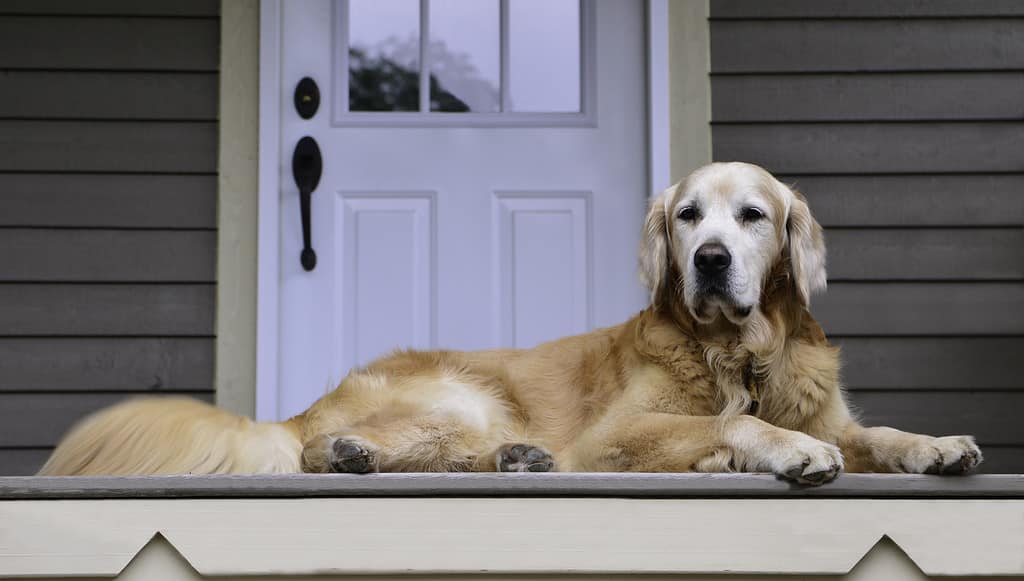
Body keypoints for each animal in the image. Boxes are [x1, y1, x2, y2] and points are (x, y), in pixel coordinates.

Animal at [41, 162, 983, 481]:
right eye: (688, 216)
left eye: (752, 215)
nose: (711, 260)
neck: (739, 354)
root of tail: (305, 405)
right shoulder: (617, 434)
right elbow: (730, 425)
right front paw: (781, 449)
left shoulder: (831, 410)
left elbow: (880, 432)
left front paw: (937, 444)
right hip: (462, 391)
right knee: (323, 450)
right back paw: (350, 451)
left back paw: (514, 457)